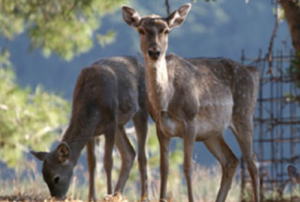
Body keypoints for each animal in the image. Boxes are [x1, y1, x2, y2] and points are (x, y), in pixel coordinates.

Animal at [30, 56, 148, 200]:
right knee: (130, 153)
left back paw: (143, 196)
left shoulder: (110, 123)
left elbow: (108, 161)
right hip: (120, 125)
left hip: (142, 107)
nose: (56, 197)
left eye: (56, 178)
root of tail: (140, 63)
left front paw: (107, 194)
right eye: (44, 179)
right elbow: (92, 163)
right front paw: (92, 198)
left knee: (142, 157)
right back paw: (117, 194)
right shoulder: (93, 132)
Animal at [122, 3, 260, 202]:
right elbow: (164, 168)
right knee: (231, 160)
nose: (154, 52)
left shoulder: (190, 121)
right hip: (212, 132)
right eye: (141, 30)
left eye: (166, 31)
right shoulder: (161, 127)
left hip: (244, 114)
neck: (166, 101)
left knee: (252, 162)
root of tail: (253, 72)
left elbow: (188, 167)